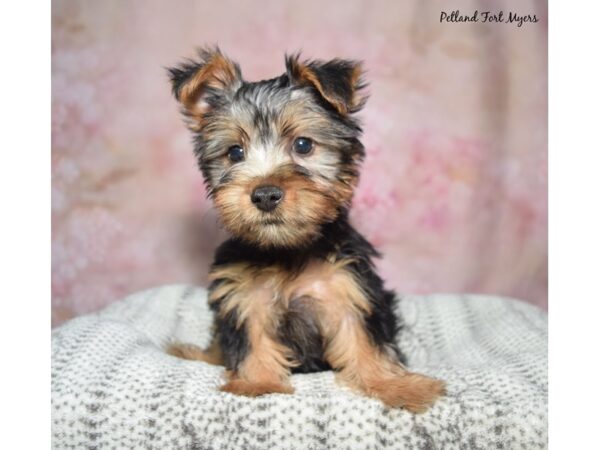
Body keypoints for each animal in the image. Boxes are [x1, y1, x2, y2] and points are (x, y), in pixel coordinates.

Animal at [166, 47, 442, 414]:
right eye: (235, 152)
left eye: (303, 145)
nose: (265, 194)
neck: (287, 248)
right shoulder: (243, 296)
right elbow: (251, 338)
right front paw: (257, 383)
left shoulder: (348, 287)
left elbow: (363, 340)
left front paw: (395, 386)